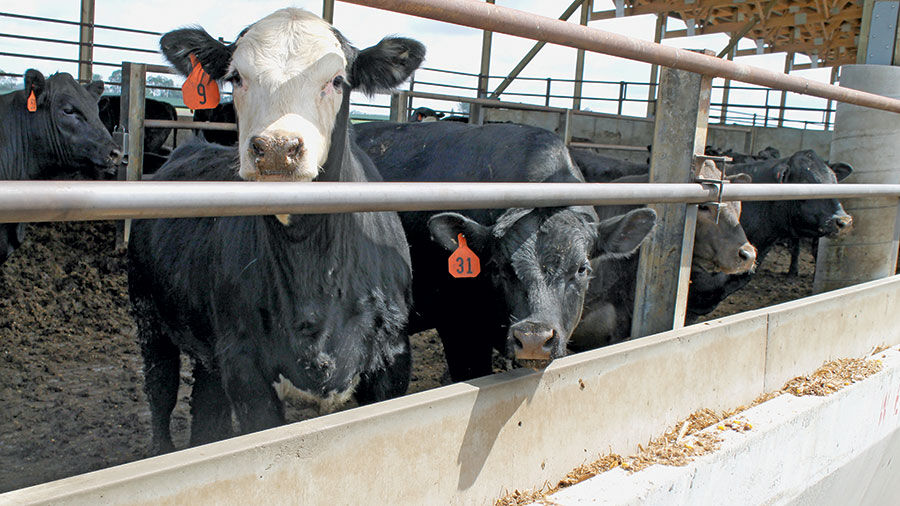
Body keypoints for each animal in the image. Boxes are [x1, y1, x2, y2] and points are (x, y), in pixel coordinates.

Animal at [126, 6, 426, 454]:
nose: (277, 148)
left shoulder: (392, 356)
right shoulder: (245, 366)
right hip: (148, 314)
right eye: (236, 77)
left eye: (337, 80)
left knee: (207, 402)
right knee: (160, 391)